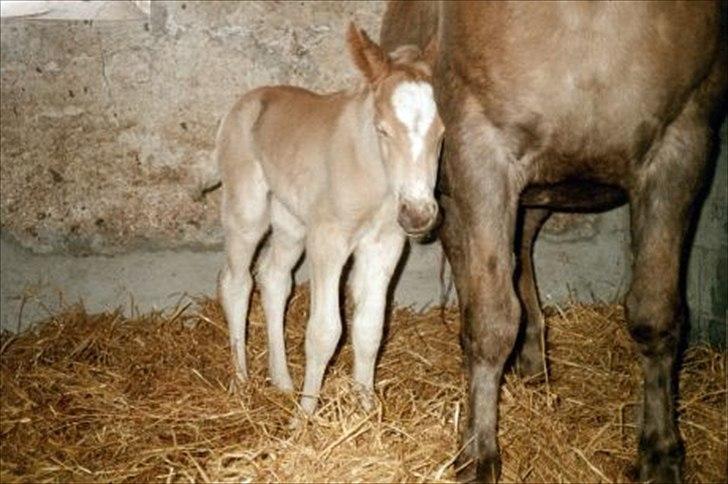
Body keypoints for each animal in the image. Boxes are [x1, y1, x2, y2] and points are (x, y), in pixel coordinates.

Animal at [216, 24, 444, 414]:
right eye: (383, 129)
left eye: (441, 133)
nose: (418, 213)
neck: (372, 174)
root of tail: (247, 100)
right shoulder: (328, 239)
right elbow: (324, 331)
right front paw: (306, 417)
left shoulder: (384, 243)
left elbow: (370, 328)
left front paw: (367, 409)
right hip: (247, 210)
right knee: (236, 283)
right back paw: (242, 382)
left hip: (291, 220)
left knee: (273, 278)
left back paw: (282, 381)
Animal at [384, 1, 724, 482]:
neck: (588, 19)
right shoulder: (480, 154)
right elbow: (490, 322)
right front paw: (477, 452)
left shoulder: (682, 149)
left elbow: (655, 316)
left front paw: (660, 453)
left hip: (540, 192)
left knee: (521, 257)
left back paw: (533, 364)